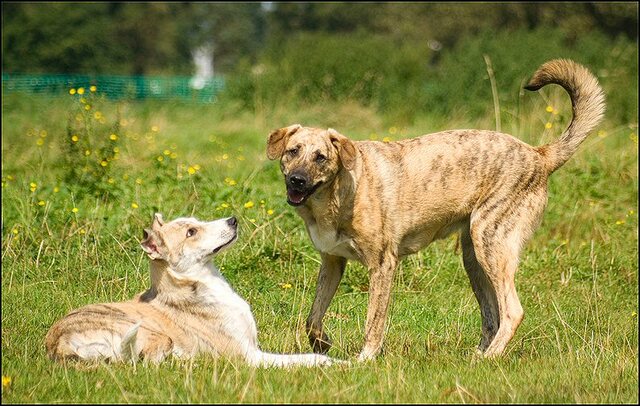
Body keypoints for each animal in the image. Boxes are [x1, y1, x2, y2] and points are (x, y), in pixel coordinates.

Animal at [44, 214, 342, 366]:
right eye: (191, 232)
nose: (233, 219)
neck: (200, 282)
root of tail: (57, 344)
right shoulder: (249, 356)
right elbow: (308, 358)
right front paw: (339, 365)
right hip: (154, 336)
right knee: (146, 363)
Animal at [266, 58, 604, 360]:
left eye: (320, 157)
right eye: (293, 152)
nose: (296, 180)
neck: (337, 194)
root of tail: (539, 154)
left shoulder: (383, 265)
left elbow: (374, 322)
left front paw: (364, 360)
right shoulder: (332, 262)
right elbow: (312, 317)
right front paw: (322, 345)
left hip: (491, 244)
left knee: (512, 311)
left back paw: (490, 357)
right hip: (474, 259)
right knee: (492, 315)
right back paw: (476, 355)